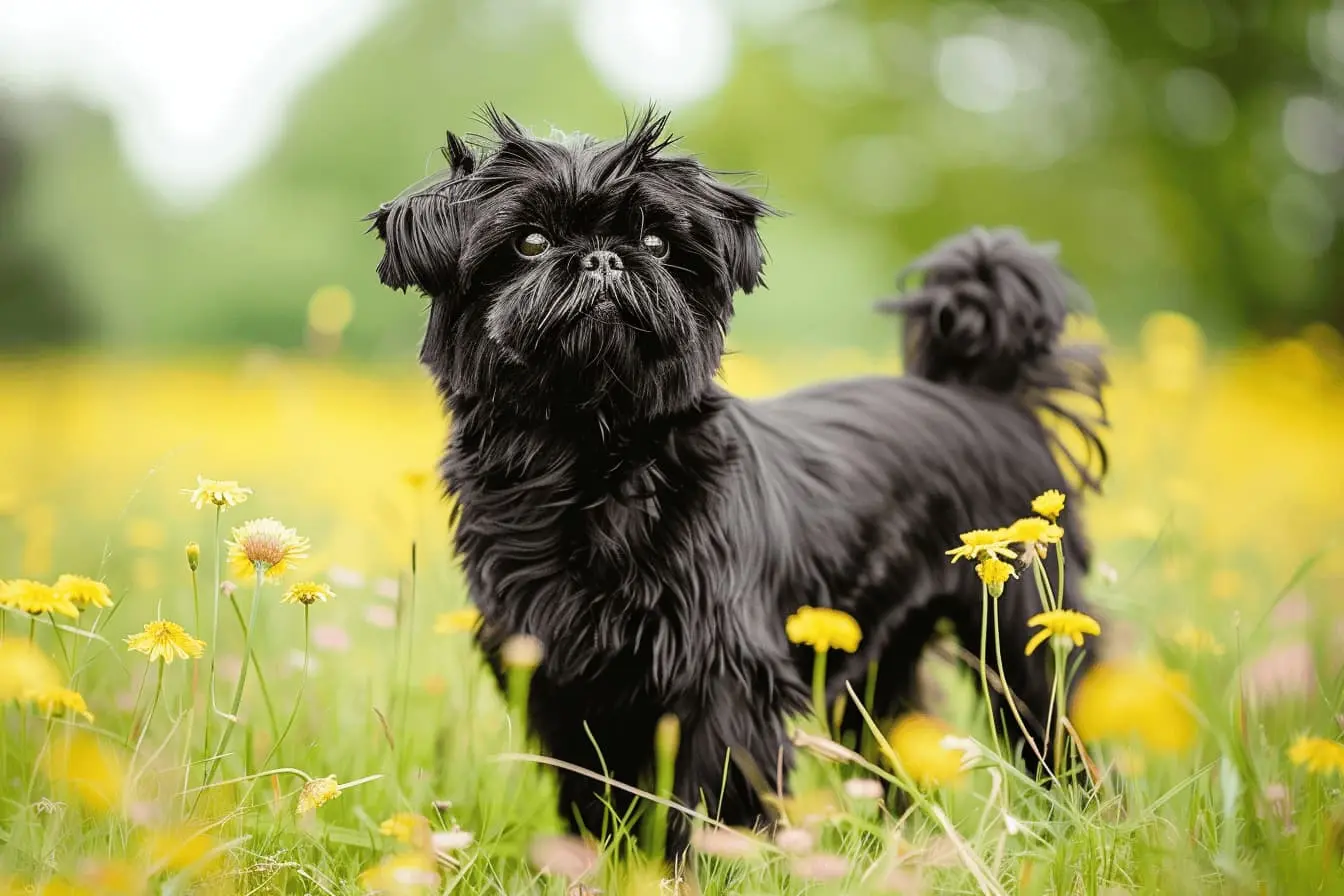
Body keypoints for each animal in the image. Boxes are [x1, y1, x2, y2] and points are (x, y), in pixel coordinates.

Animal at [362, 108, 1107, 859]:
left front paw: (703, 866)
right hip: (879, 667)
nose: (603, 257)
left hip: (1027, 632)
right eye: (531, 242)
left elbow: (713, 797)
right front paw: (607, 866)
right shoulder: (561, 677)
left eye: (656, 243)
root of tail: (984, 394)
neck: (586, 457)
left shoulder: (726, 675)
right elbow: (596, 795)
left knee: (1065, 722)